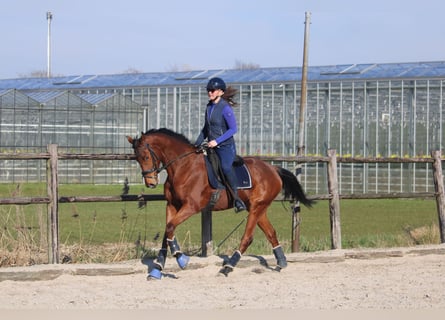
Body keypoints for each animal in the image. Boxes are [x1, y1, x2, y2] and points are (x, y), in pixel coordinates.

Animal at [125, 129, 312, 278]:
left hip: (256, 208)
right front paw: (157, 268)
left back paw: (228, 267)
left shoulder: (191, 207)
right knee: (271, 233)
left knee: (248, 237)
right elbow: (167, 232)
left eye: (146, 156)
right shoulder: (172, 205)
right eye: (137, 159)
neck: (183, 167)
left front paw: (182, 259)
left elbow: (170, 227)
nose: (150, 183)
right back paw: (281, 263)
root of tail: (273, 169)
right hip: (258, 208)